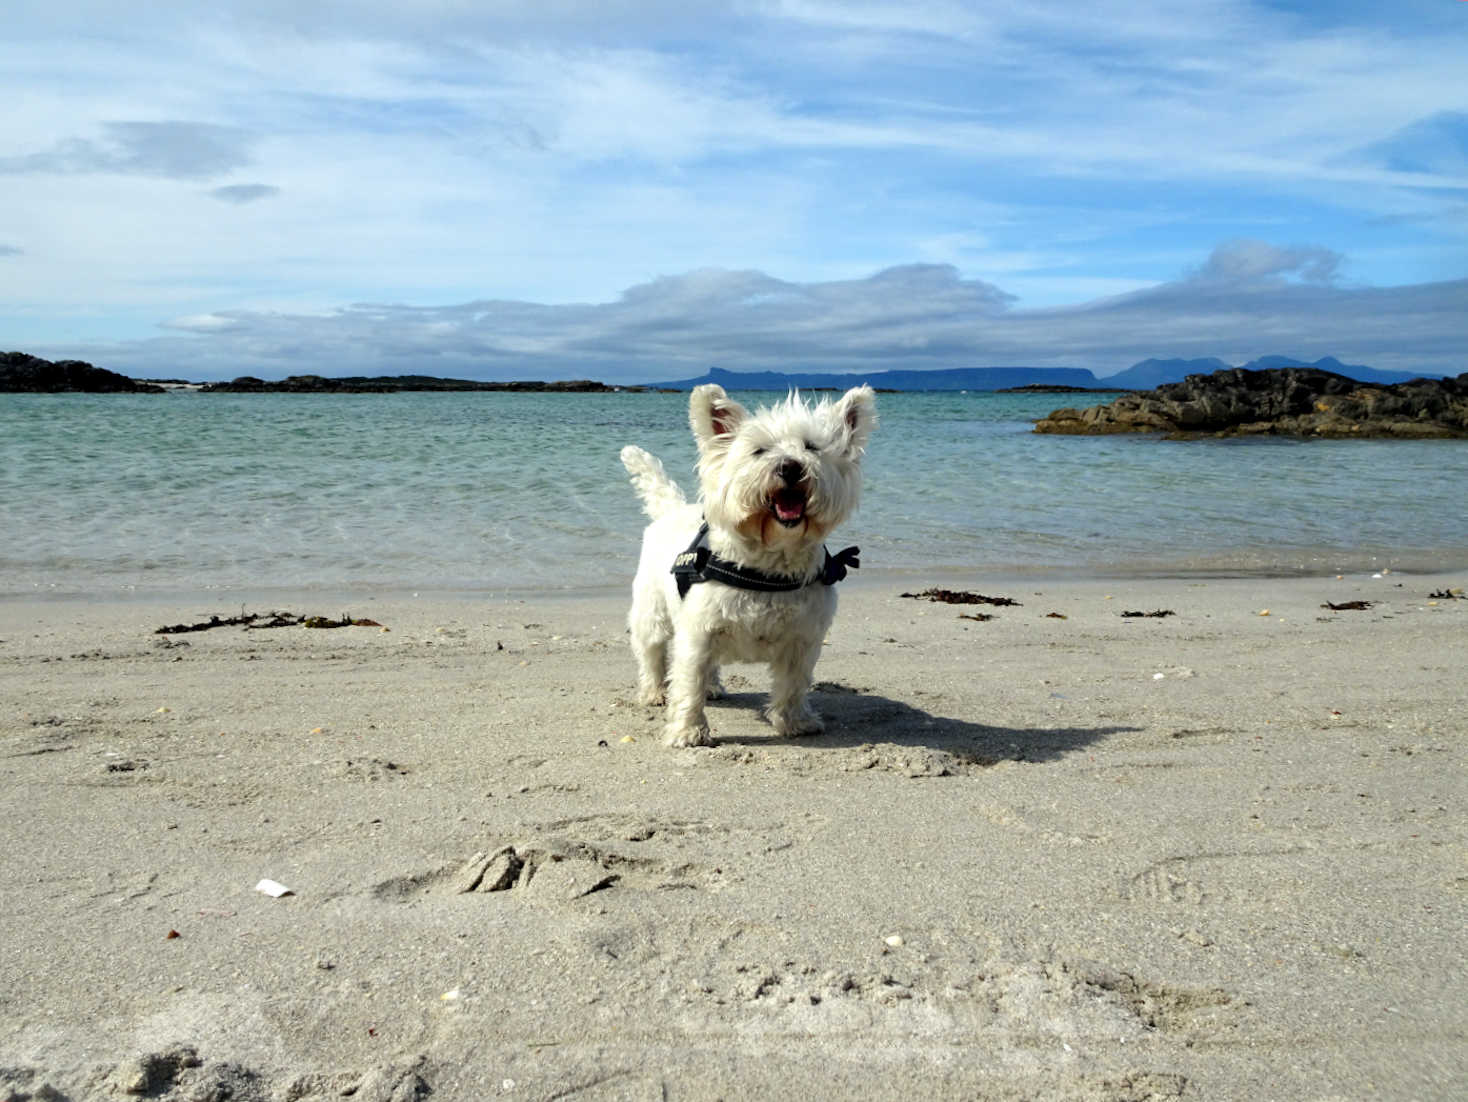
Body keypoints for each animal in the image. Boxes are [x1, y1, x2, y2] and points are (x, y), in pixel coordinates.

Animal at [616, 381, 869, 751]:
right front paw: (688, 732)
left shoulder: (803, 638)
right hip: (651, 611)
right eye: (759, 451)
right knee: (652, 653)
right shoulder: (698, 631)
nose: (791, 467)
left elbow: (794, 683)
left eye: (811, 447)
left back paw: (713, 688)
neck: (768, 567)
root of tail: (672, 510)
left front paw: (796, 722)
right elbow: (688, 682)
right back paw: (654, 692)